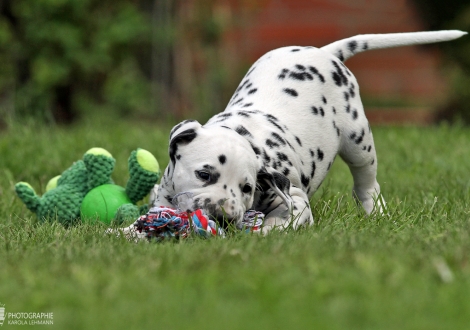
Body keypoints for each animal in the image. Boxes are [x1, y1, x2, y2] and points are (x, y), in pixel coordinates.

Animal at [145, 29, 464, 233]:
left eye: (247, 187)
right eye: (203, 174)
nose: (222, 217)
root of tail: (323, 52)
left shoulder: (295, 198)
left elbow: (283, 219)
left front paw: (265, 231)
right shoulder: (165, 190)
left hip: (359, 140)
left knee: (366, 182)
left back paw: (374, 210)